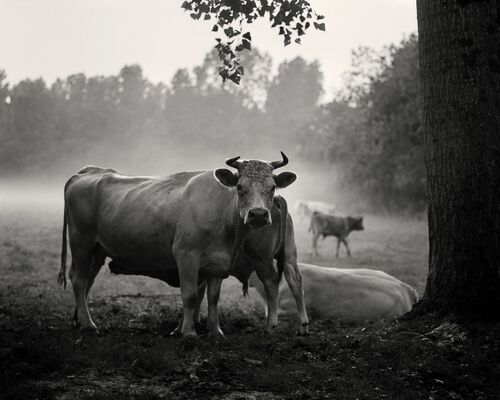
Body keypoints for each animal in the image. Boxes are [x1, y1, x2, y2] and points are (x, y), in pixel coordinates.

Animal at [57, 153, 296, 338]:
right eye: (240, 186)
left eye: (272, 187)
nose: (258, 214)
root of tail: (88, 172)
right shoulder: (186, 256)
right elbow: (190, 295)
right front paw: (189, 332)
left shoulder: (217, 263)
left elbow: (213, 298)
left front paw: (216, 331)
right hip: (81, 242)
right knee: (79, 280)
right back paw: (88, 324)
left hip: (97, 250)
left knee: (86, 280)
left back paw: (79, 320)